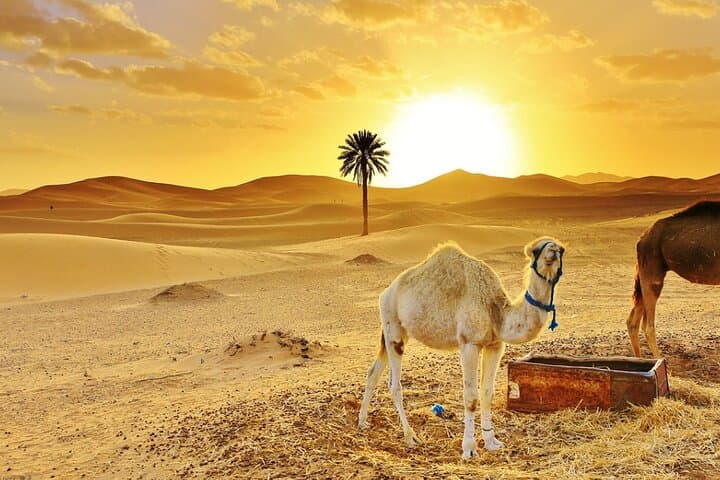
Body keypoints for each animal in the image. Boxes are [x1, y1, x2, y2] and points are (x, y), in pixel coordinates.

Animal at [358, 237, 565, 459]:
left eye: (562, 250)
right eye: (535, 250)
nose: (553, 249)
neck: (495, 310)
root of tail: (386, 292)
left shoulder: (495, 345)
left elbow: (487, 393)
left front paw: (491, 441)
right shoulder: (469, 344)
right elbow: (471, 397)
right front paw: (469, 448)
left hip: (394, 330)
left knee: (373, 372)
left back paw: (362, 422)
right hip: (393, 327)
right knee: (395, 384)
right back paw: (411, 437)